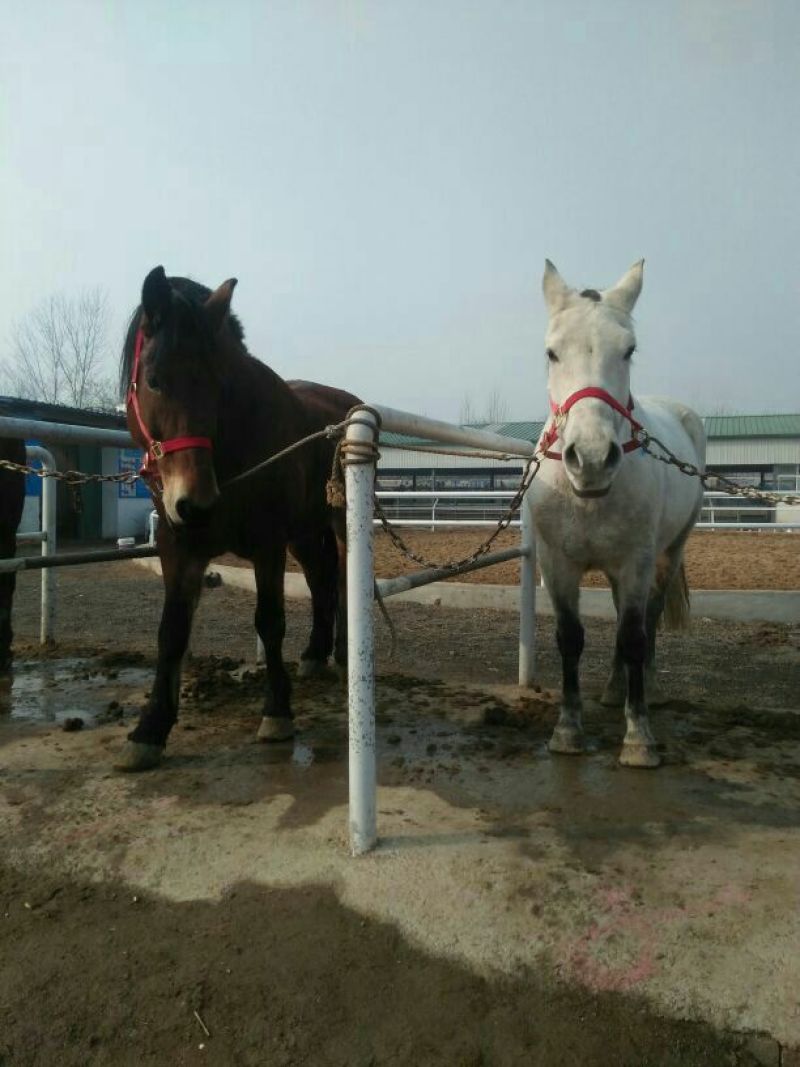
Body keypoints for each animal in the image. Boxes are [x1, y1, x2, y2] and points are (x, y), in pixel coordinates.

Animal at [116, 266, 360, 772]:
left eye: (218, 384)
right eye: (154, 380)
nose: (195, 504)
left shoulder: (267, 544)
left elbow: (269, 621)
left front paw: (277, 713)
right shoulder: (179, 548)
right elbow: (171, 632)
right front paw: (150, 730)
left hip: (335, 525)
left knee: (343, 581)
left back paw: (343, 656)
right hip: (303, 535)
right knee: (322, 580)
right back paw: (314, 654)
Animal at [525, 260, 705, 768]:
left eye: (629, 350)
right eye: (551, 352)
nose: (590, 457)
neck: (586, 496)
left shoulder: (636, 563)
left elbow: (634, 636)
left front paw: (638, 737)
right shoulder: (557, 564)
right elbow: (570, 637)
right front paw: (568, 730)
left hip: (669, 551)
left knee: (648, 617)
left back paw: (646, 687)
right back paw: (610, 688)